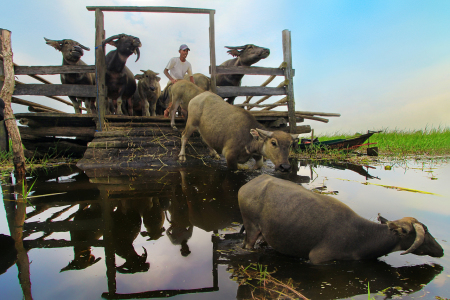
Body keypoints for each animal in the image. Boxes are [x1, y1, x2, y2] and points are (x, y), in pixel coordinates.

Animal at [239, 175, 442, 264]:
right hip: (251, 227)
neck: (362, 237)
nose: (441, 250)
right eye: (425, 232)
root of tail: (248, 185)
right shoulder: (319, 258)